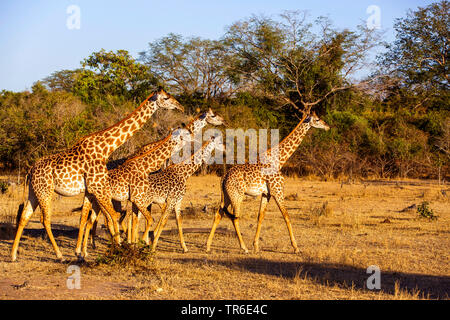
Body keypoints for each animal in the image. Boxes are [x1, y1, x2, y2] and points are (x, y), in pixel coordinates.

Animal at [12, 86, 185, 262]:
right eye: (166, 98)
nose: (181, 107)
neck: (105, 148)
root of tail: (30, 171)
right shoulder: (99, 188)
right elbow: (113, 217)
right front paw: (118, 248)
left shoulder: (92, 190)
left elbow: (86, 218)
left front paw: (81, 252)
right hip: (45, 191)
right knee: (45, 219)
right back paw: (59, 255)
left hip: (34, 192)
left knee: (25, 216)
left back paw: (13, 255)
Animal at [77, 109, 225, 256]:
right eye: (213, 115)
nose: (223, 121)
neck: (183, 172)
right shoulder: (164, 200)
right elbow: (159, 220)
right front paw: (149, 244)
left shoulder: (174, 201)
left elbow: (177, 220)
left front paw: (183, 247)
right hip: (114, 200)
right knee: (111, 219)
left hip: (100, 200)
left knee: (91, 219)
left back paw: (88, 249)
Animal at [206, 112, 328, 255]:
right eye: (317, 119)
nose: (327, 126)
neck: (280, 160)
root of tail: (223, 177)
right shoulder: (278, 191)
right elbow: (286, 216)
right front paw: (296, 247)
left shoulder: (266, 194)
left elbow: (260, 216)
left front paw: (256, 246)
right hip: (237, 195)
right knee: (235, 217)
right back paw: (244, 248)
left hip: (226, 195)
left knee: (218, 214)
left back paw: (208, 246)